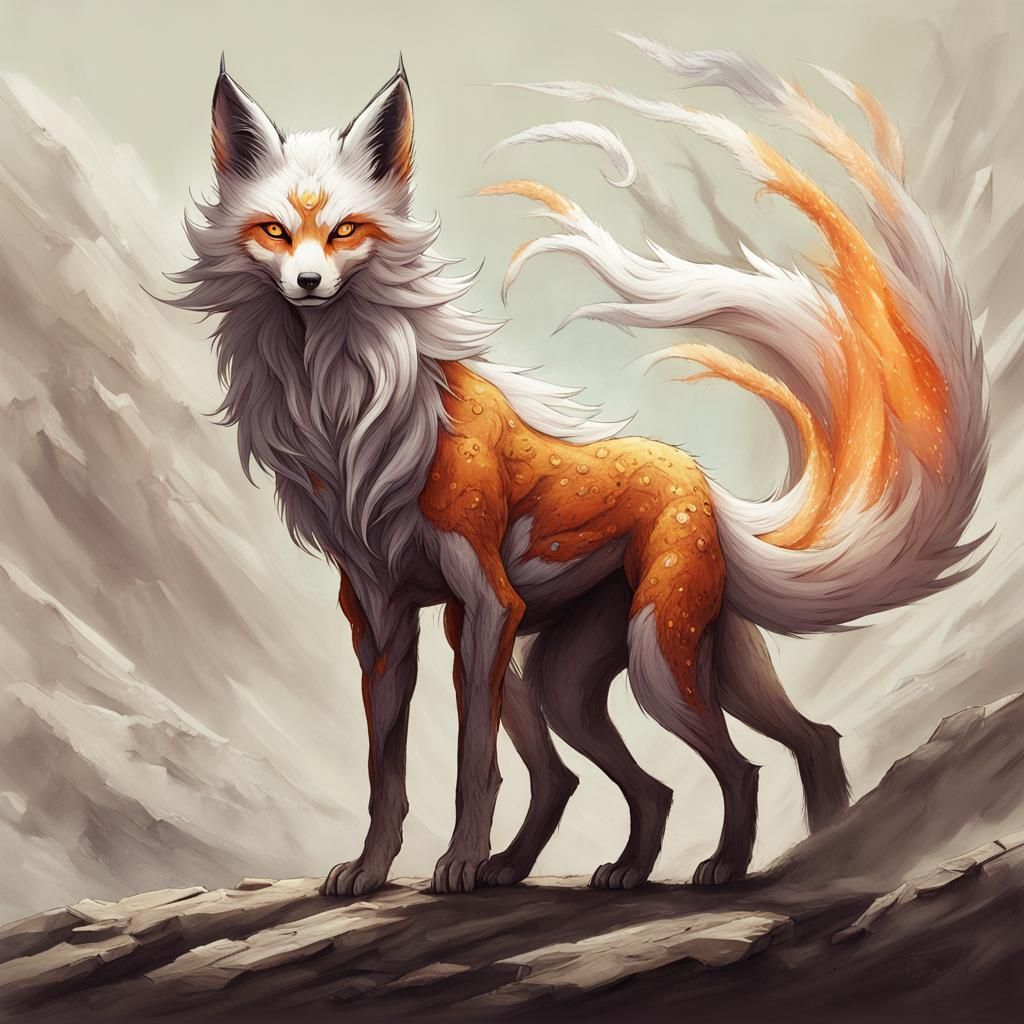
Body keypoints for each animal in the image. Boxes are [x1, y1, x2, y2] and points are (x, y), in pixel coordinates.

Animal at [172, 40, 988, 897]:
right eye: (273, 230)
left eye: (345, 231)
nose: (308, 284)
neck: (350, 421)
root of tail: (705, 485)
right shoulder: (383, 620)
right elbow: (383, 772)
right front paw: (372, 869)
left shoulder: (485, 599)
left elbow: (472, 764)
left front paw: (455, 861)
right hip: (561, 680)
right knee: (654, 774)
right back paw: (596, 866)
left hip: (652, 660)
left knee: (743, 765)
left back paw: (732, 864)